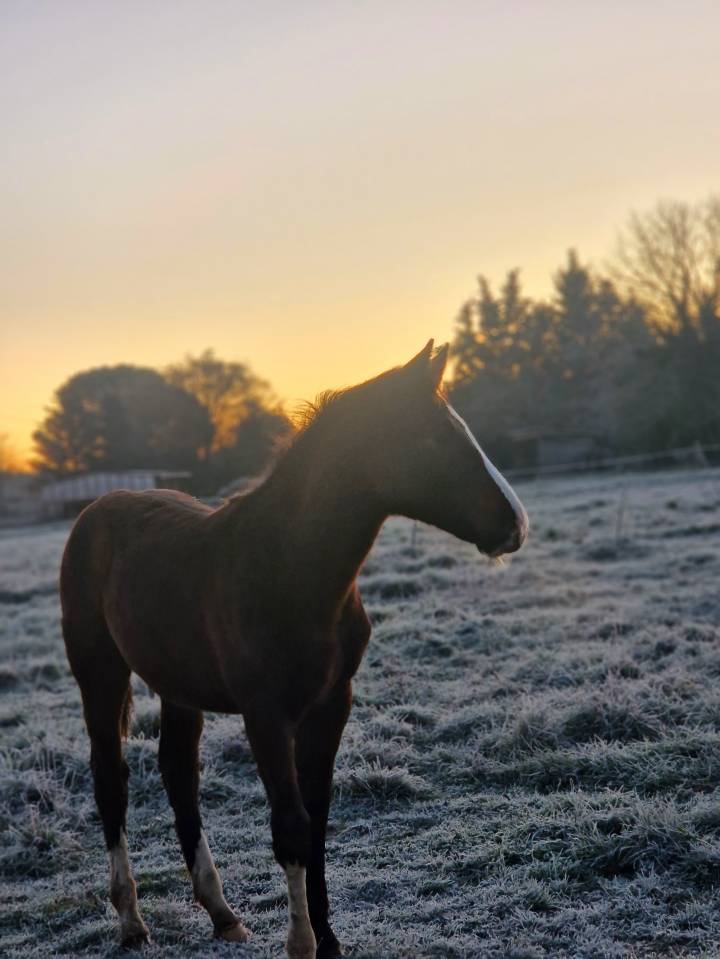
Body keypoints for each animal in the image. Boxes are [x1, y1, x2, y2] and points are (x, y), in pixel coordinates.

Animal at [60, 340, 528, 957]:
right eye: (433, 438)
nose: (516, 524)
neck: (289, 567)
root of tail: (96, 509)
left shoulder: (331, 704)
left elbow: (318, 819)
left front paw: (328, 940)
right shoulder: (266, 715)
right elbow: (291, 825)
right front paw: (303, 943)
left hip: (177, 685)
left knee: (179, 774)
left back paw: (222, 913)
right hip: (100, 672)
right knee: (111, 778)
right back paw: (132, 922)